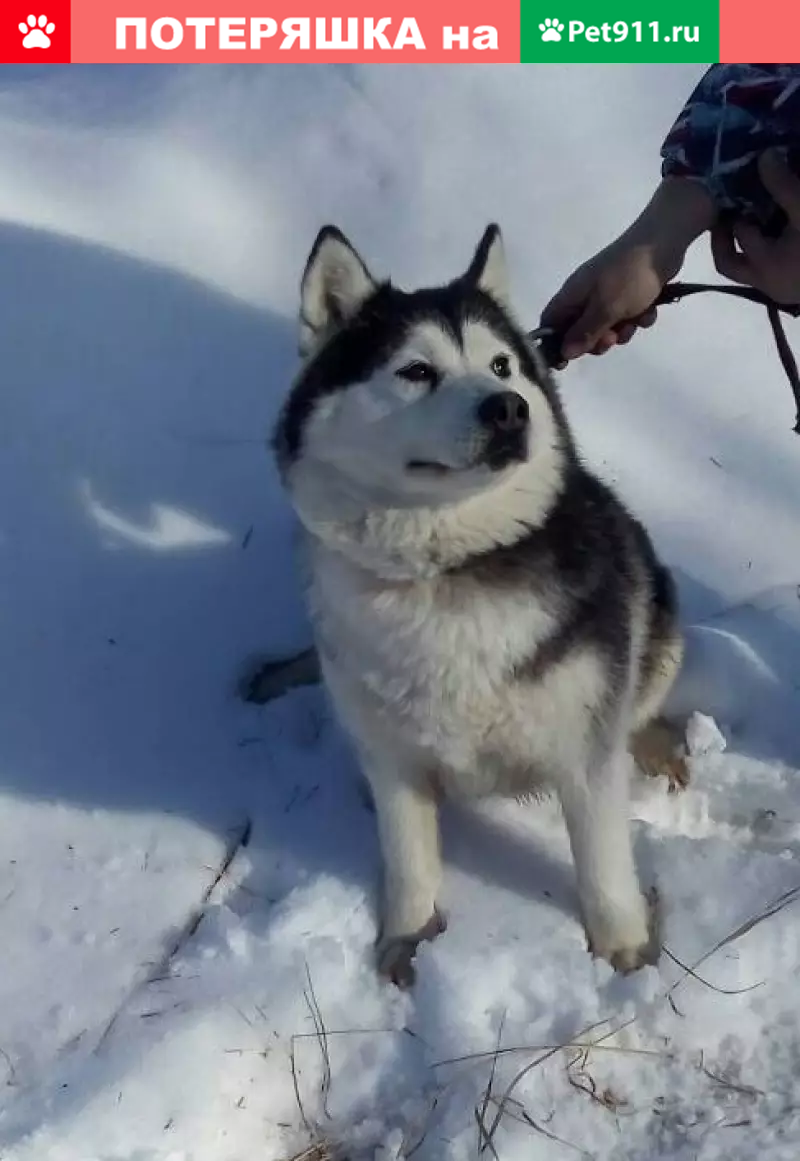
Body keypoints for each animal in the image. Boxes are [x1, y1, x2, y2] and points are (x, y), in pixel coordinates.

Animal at [271, 221, 682, 984]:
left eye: (501, 366)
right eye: (415, 371)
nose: (508, 408)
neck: (445, 570)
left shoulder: (584, 751)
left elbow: (603, 863)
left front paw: (622, 947)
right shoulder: (394, 759)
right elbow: (409, 862)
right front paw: (406, 942)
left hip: (659, 616)